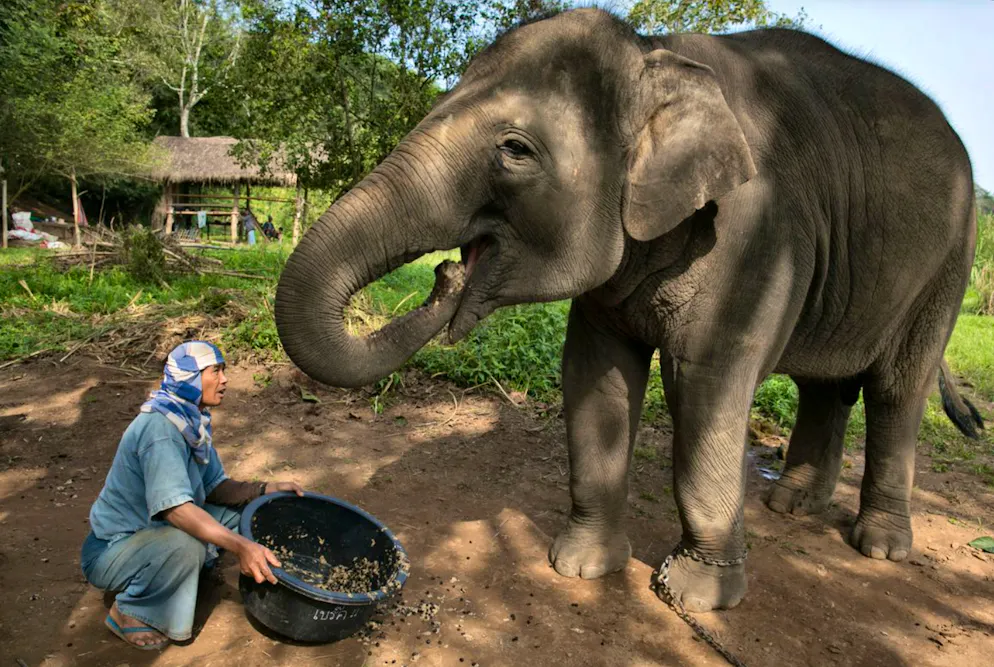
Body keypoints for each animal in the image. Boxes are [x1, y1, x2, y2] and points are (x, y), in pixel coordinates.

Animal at [275, 8, 983, 613]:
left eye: (515, 149)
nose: (446, 276)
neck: (654, 56)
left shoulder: (755, 233)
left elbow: (706, 384)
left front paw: (696, 598)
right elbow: (595, 374)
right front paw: (580, 566)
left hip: (952, 259)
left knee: (896, 388)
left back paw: (880, 545)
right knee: (824, 384)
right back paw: (791, 505)